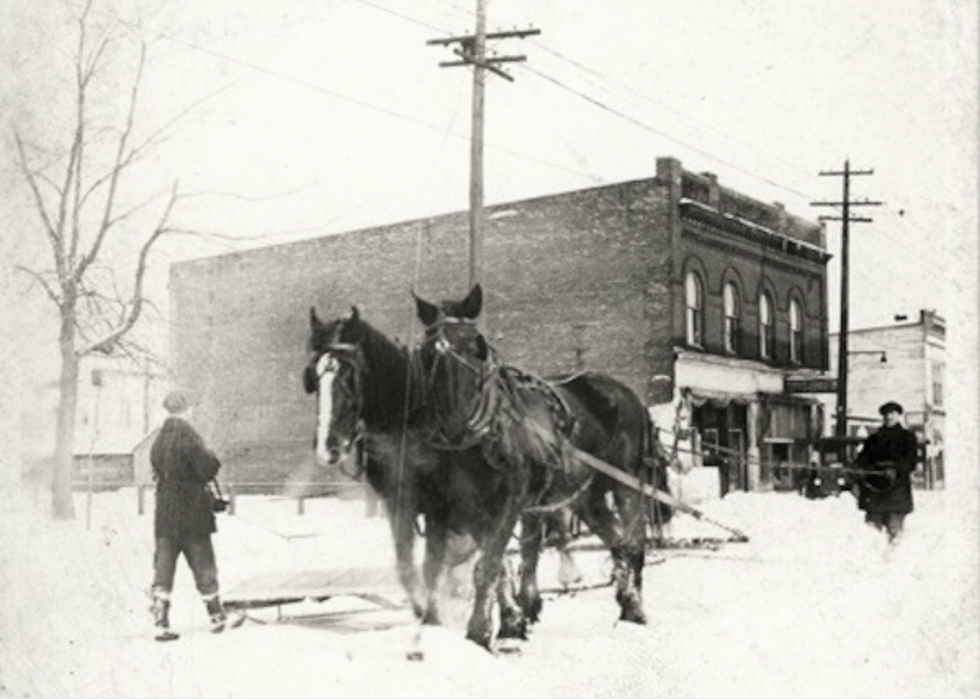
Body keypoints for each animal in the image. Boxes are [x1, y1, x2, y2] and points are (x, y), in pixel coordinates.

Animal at [302, 308, 528, 644]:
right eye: (314, 377)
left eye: (348, 374)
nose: (326, 447)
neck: (406, 421)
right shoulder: (398, 503)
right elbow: (406, 565)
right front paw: (427, 612)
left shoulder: (439, 508)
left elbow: (432, 565)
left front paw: (436, 616)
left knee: (491, 556)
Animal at [414, 284, 668, 644]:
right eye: (426, 353)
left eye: (476, 347)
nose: (454, 425)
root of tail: (630, 396)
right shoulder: (467, 507)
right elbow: (499, 564)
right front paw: (512, 621)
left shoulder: (508, 501)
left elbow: (488, 565)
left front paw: (480, 631)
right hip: (586, 497)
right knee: (616, 542)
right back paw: (622, 598)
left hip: (626, 483)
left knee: (633, 545)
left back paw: (634, 607)